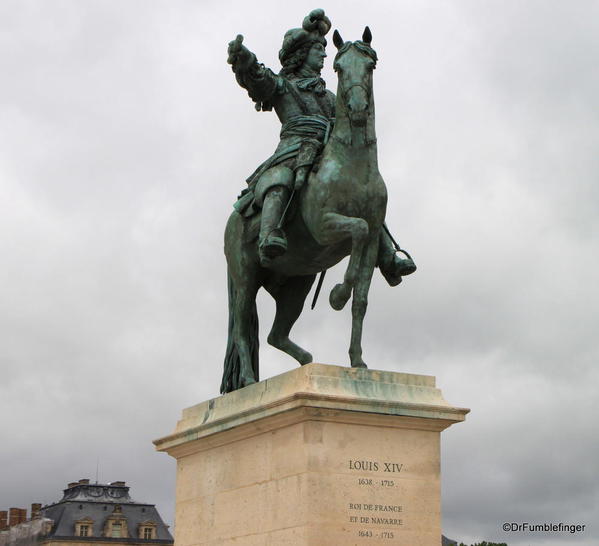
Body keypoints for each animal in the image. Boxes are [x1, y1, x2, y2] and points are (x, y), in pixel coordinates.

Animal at [223, 27, 392, 392]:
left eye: (370, 65)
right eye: (339, 67)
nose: (357, 109)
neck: (353, 166)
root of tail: (233, 220)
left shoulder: (373, 242)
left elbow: (361, 299)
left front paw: (358, 361)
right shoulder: (326, 227)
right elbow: (356, 230)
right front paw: (338, 293)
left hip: (296, 284)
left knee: (275, 335)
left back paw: (306, 364)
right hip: (245, 279)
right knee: (243, 328)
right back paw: (249, 381)